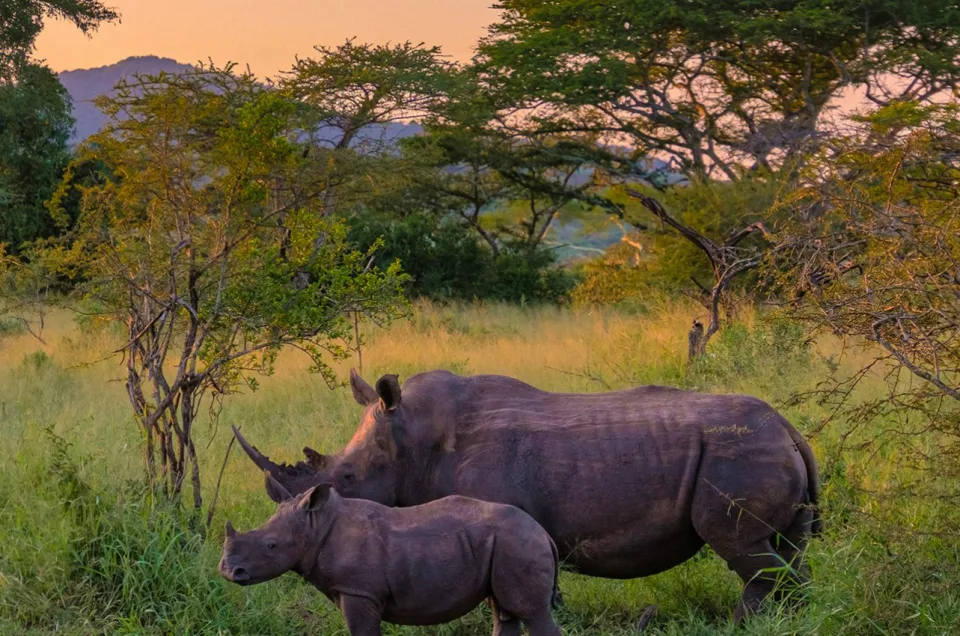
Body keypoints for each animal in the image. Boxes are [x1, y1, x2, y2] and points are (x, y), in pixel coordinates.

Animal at [219, 472, 562, 636]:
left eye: (271, 546)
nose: (227, 570)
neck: (318, 524)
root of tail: (544, 533)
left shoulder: (359, 590)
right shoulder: (355, 590)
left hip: (518, 544)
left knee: (530, 612)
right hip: (505, 544)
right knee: (505, 611)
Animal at [235, 369, 822, 622]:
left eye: (349, 479)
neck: (414, 435)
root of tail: (789, 428)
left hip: (736, 452)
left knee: (743, 549)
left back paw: (746, 625)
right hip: (758, 448)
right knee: (784, 551)